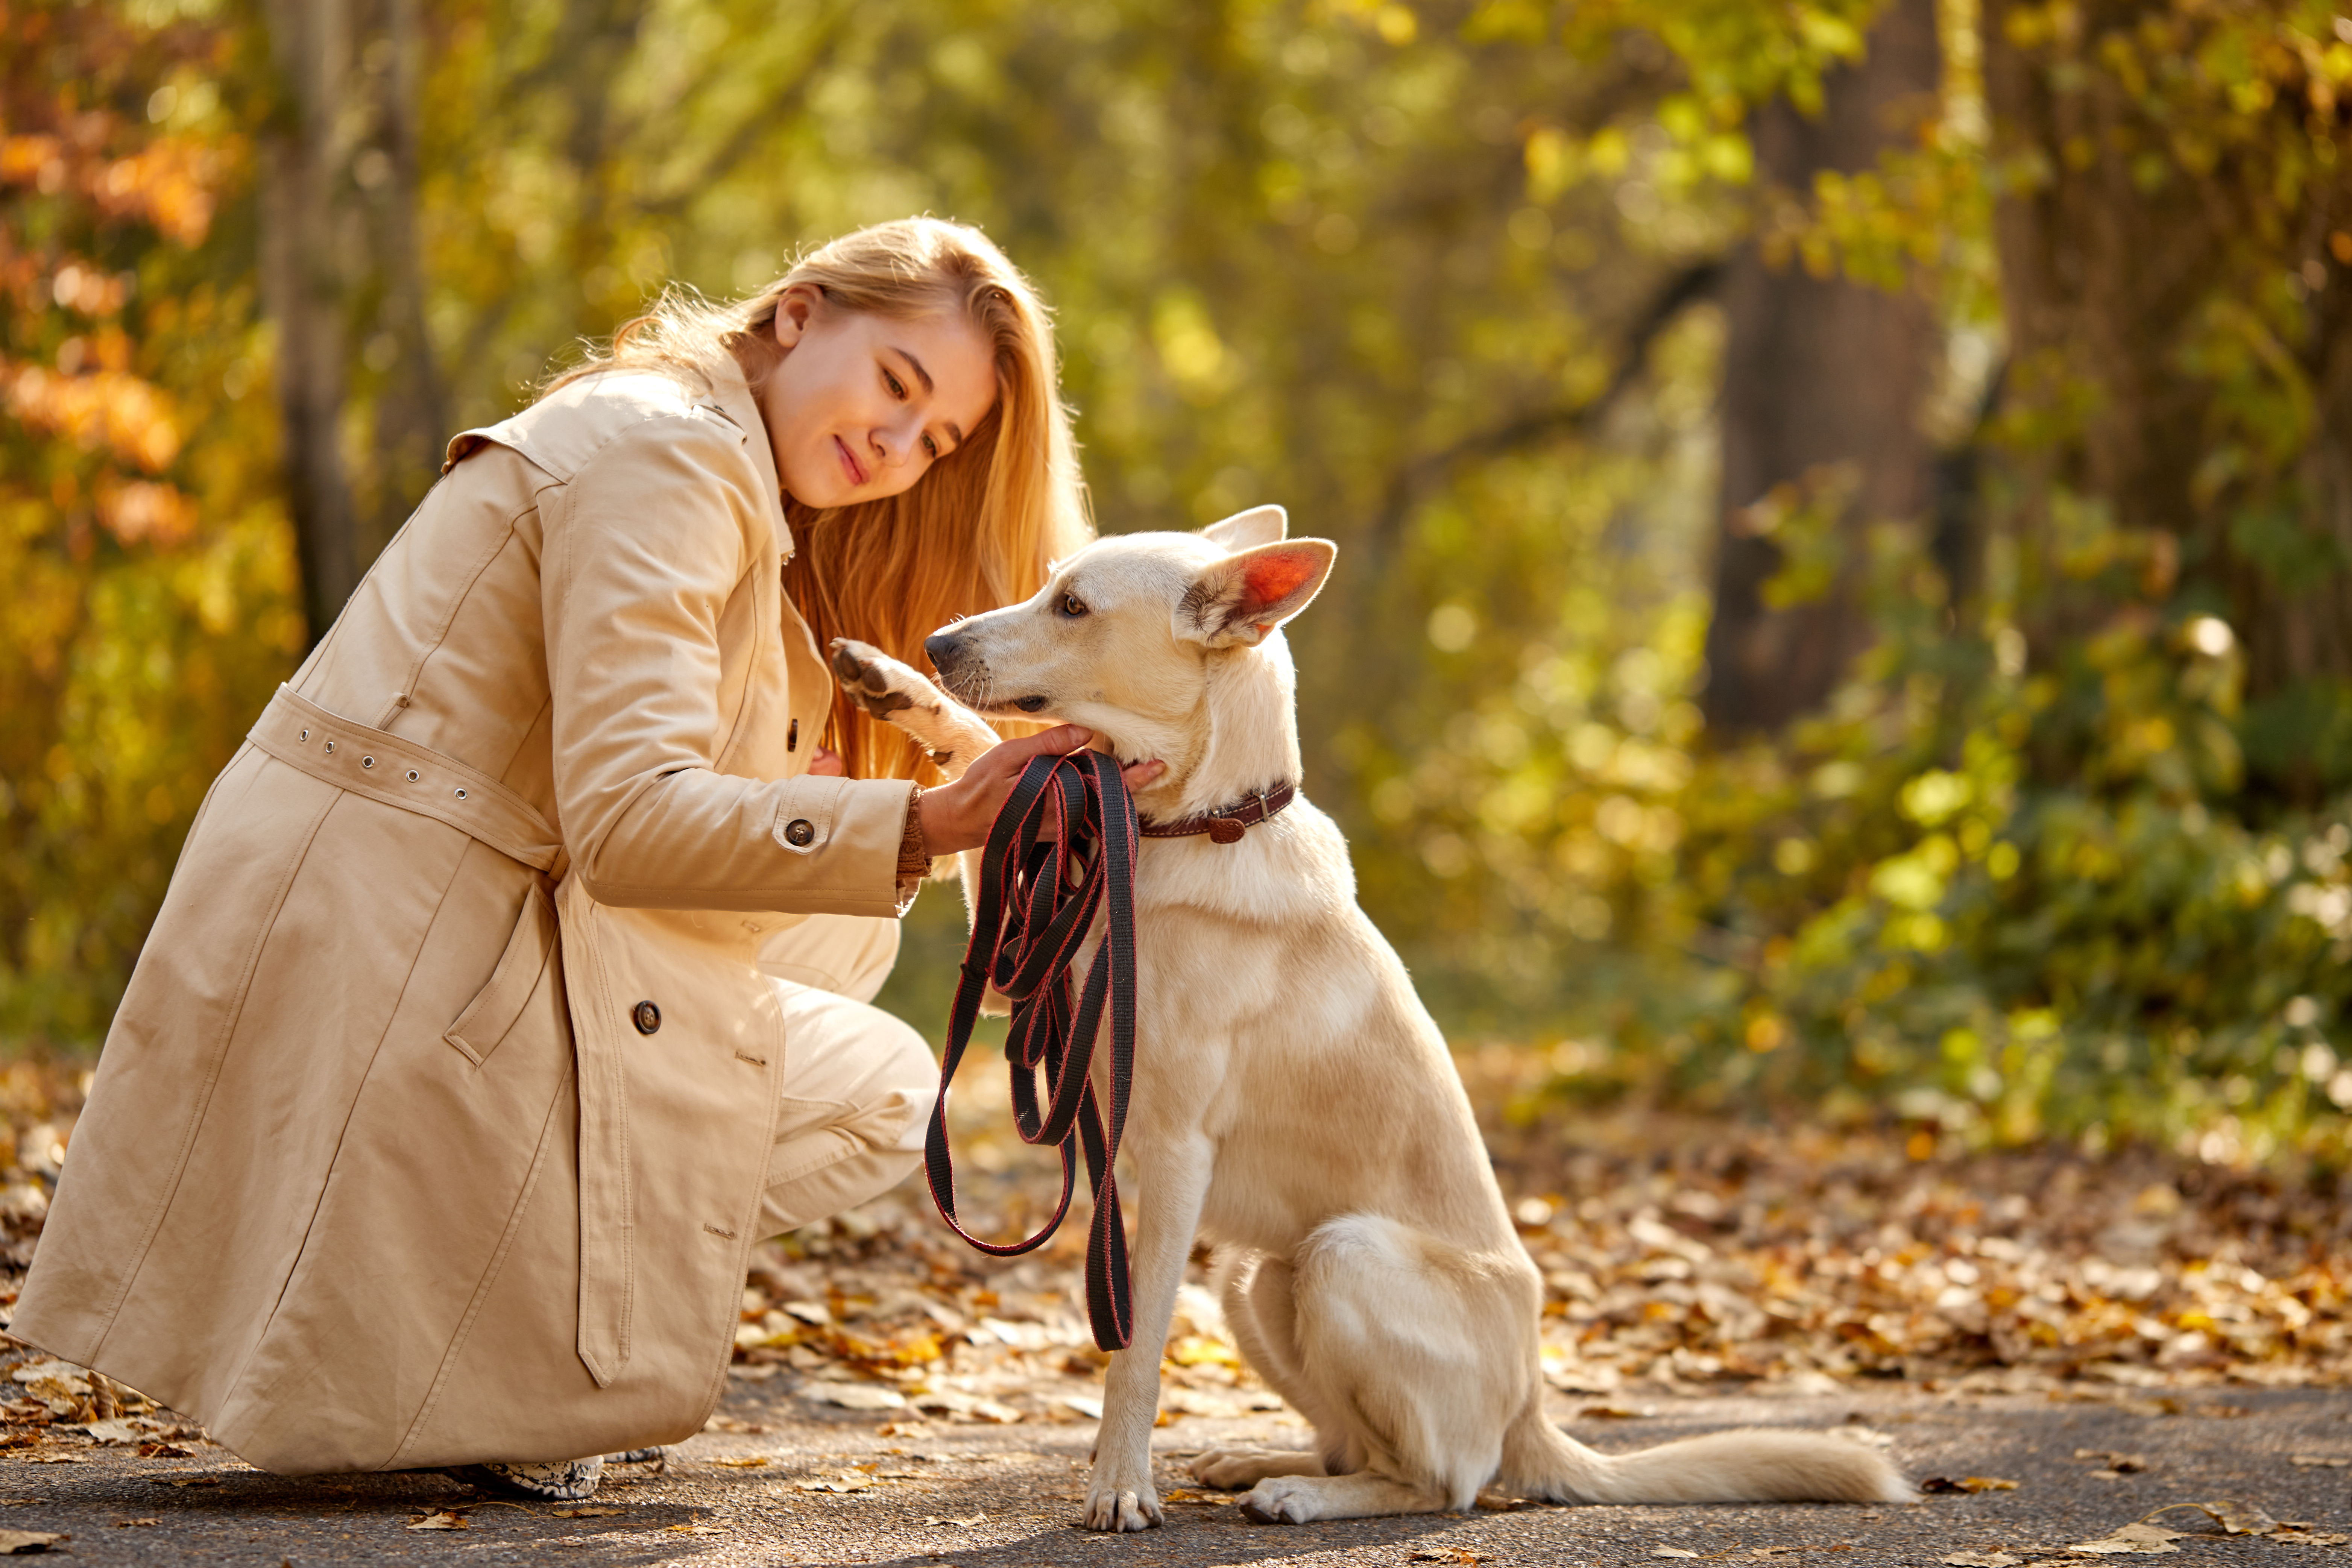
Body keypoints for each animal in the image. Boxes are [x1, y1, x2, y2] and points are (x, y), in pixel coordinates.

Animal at [828, 510, 1910, 1523]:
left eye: (1073, 607)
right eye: (1052, 586)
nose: (935, 642)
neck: (1183, 826)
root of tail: (1533, 1411)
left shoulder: (1173, 1151)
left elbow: (1135, 1347)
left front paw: (1119, 1486)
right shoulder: (1021, 935)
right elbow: (981, 759)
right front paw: (893, 687)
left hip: (1339, 1256)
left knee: (1441, 1480)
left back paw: (1304, 1496)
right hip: (1259, 1277)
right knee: (1356, 1441)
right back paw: (1260, 1461)